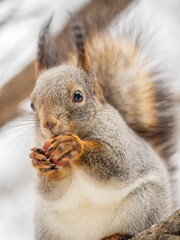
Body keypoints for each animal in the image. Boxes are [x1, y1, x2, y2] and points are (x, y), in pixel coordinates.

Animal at [29, 7, 176, 240]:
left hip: (146, 202)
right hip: (46, 223)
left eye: (78, 96)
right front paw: (38, 161)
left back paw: (118, 234)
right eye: (32, 104)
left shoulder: (120, 142)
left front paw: (74, 146)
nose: (48, 124)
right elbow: (52, 191)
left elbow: (114, 164)